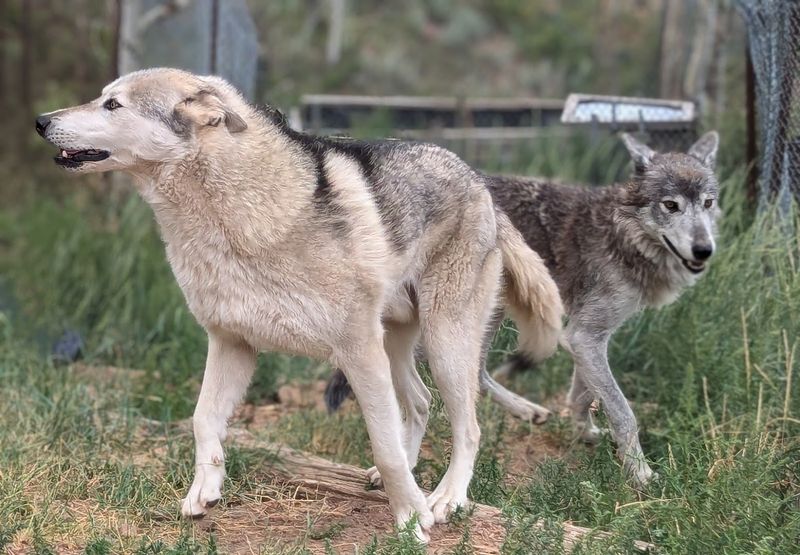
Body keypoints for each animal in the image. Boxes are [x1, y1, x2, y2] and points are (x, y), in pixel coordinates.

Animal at [35, 68, 563, 540]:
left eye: (112, 104)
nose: (40, 120)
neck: (233, 216)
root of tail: (481, 183)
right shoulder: (230, 342)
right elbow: (203, 419)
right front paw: (204, 491)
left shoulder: (356, 351)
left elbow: (384, 444)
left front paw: (413, 520)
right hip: (397, 347)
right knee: (418, 403)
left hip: (443, 345)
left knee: (467, 426)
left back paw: (446, 498)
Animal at [326, 132, 720, 487]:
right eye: (670, 205)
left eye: (708, 203)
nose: (704, 250)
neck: (621, 232)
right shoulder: (584, 335)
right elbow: (623, 412)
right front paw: (640, 474)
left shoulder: (589, 337)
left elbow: (584, 395)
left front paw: (587, 433)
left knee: (474, 376)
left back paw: (529, 411)